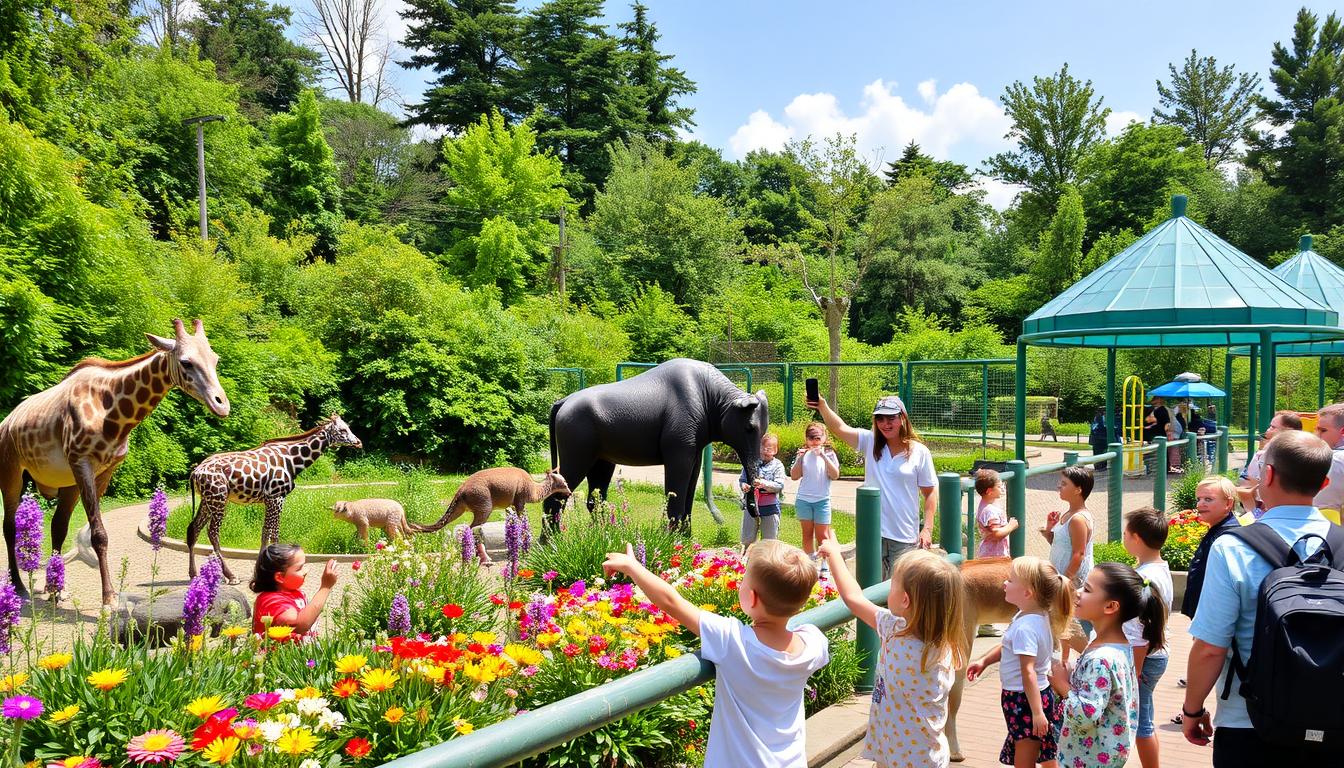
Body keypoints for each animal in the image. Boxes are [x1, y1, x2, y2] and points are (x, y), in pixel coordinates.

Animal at [0, 320, 229, 607]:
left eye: (215, 359)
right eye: (186, 362)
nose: (222, 405)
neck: (115, 413)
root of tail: (6, 421)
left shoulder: (105, 470)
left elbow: (86, 530)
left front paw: (67, 590)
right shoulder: (82, 462)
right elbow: (99, 534)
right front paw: (109, 597)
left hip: (65, 480)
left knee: (57, 526)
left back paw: (54, 588)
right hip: (11, 470)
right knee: (9, 526)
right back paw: (19, 587)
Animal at [186, 414, 362, 583]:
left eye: (348, 427)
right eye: (343, 430)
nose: (358, 442)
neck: (292, 460)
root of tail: (195, 472)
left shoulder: (271, 500)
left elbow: (266, 533)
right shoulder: (276, 497)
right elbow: (273, 533)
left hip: (207, 500)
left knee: (194, 528)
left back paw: (193, 574)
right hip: (219, 499)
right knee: (212, 532)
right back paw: (231, 576)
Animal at [542, 360, 768, 529]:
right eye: (749, 428)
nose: (756, 514)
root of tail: (561, 402)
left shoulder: (695, 448)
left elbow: (690, 488)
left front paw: (686, 543)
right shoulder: (679, 442)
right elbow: (676, 490)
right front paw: (674, 544)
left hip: (599, 454)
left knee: (596, 497)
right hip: (576, 445)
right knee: (558, 493)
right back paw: (550, 546)